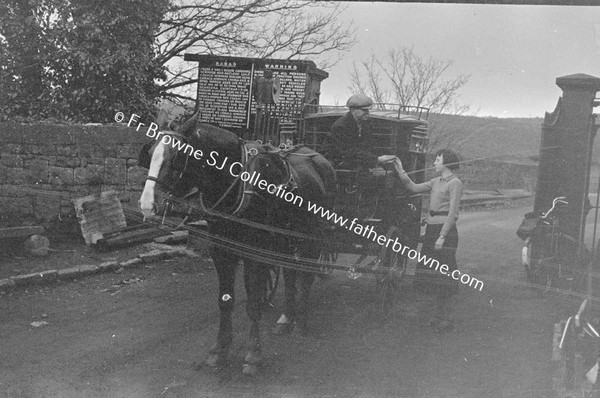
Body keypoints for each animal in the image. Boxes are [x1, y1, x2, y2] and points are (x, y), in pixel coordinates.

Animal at [139, 110, 338, 374]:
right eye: (150, 152)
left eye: (179, 154)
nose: (147, 204)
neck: (239, 184)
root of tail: (321, 160)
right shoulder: (221, 250)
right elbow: (225, 301)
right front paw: (219, 350)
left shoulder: (256, 252)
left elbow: (253, 303)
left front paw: (253, 354)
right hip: (285, 240)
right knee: (290, 273)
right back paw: (287, 317)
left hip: (312, 236)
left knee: (306, 275)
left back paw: (302, 321)